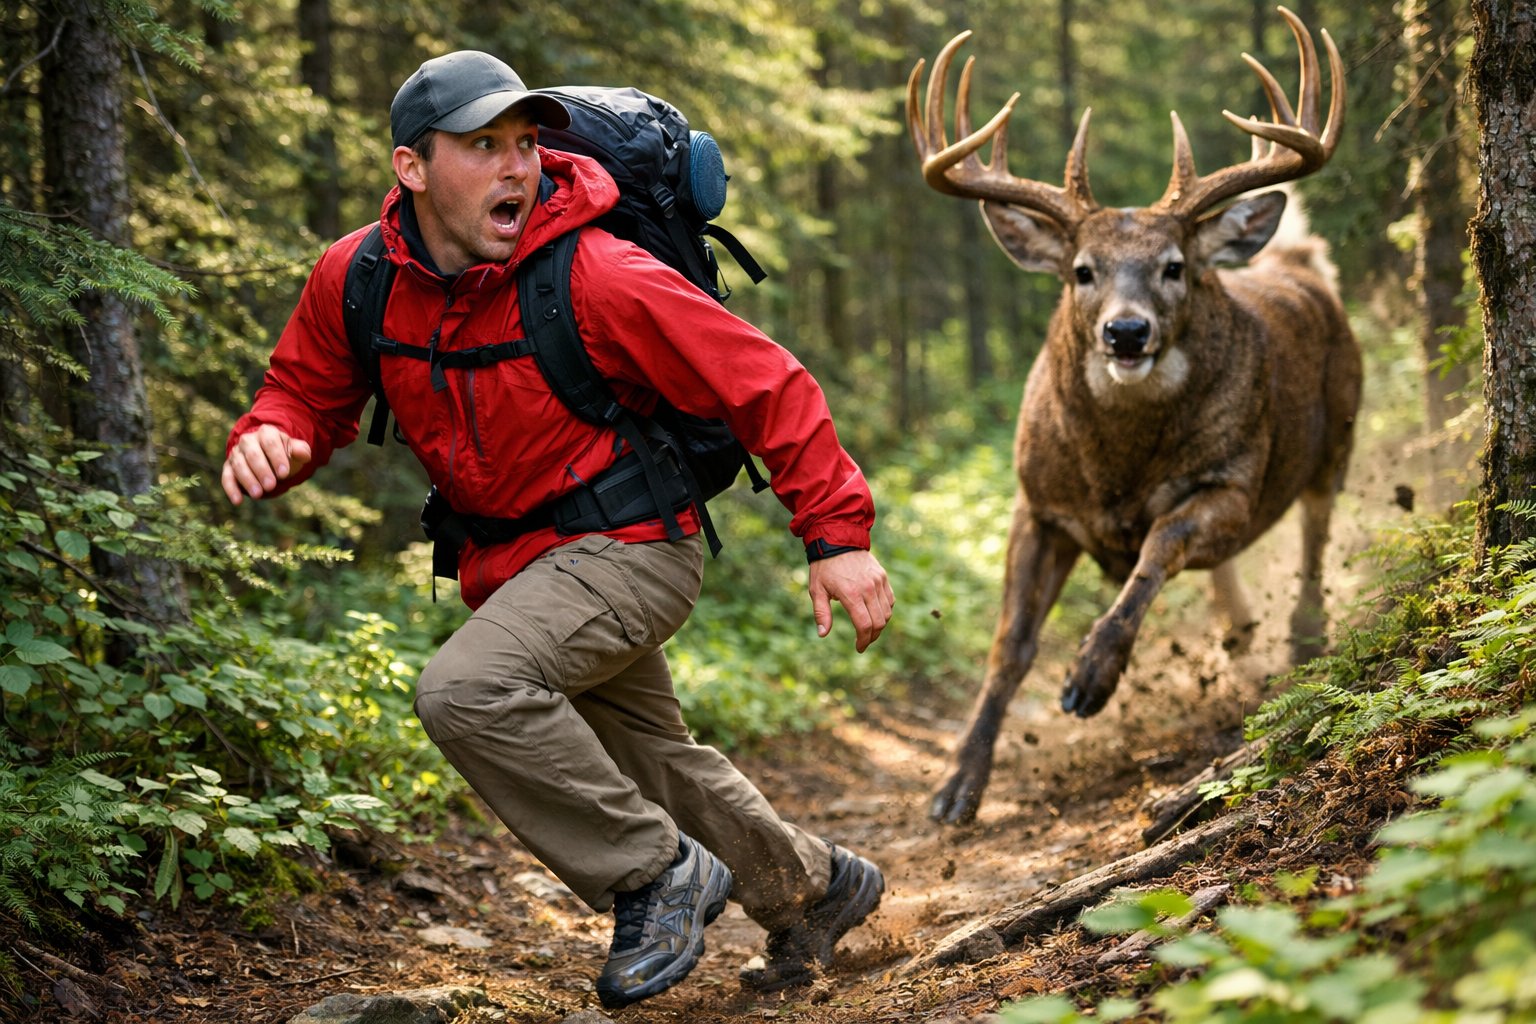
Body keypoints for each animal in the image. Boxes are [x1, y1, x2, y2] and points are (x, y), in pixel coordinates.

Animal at [908, 7, 1362, 825]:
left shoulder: (1233, 481)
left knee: (1314, 532)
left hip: (1337, 432)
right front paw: (957, 786)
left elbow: (1158, 546)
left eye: (1174, 267)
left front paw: (1090, 677)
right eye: (1081, 271)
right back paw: (1244, 643)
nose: (1126, 331)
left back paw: (1303, 642)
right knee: (1235, 586)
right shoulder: (1038, 505)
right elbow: (1009, 646)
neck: (1114, 470)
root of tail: (1297, 264)